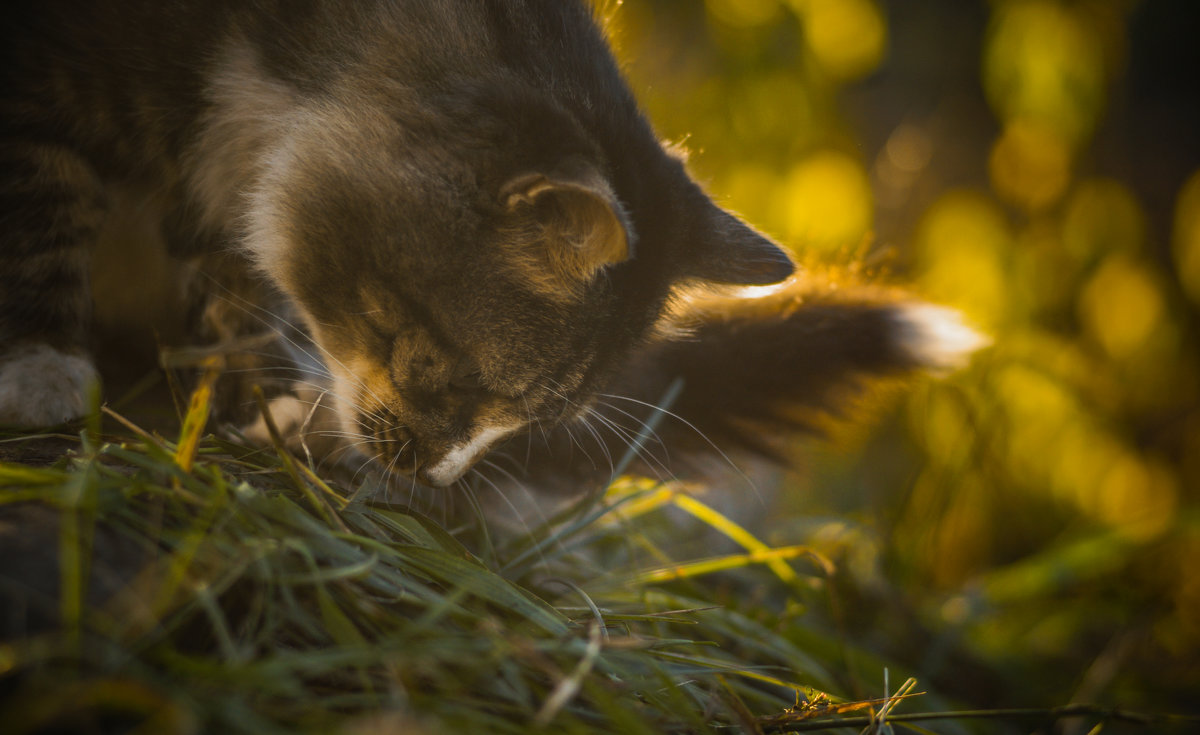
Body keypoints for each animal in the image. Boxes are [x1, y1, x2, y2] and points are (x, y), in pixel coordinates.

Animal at [0, 2, 984, 490]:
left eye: (529, 417)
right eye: (463, 382)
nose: (436, 477)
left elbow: (232, 290)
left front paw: (244, 410)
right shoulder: (48, 75)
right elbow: (40, 198)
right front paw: (39, 364)